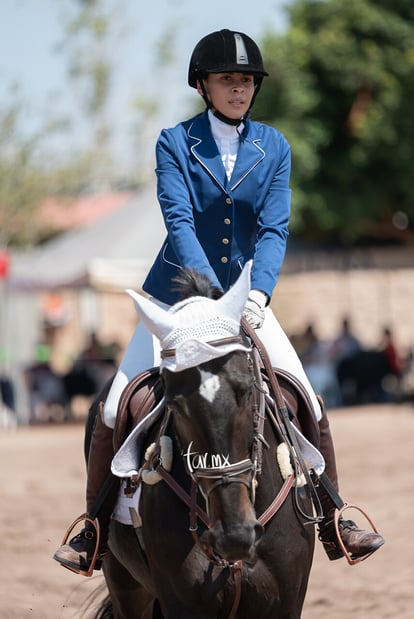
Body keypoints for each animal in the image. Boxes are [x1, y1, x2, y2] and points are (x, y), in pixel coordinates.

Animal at [85, 262, 318, 619]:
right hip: (124, 582)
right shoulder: (183, 604)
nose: (233, 536)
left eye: (247, 389)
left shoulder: (285, 603)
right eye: (174, 403)